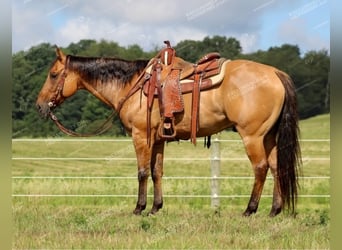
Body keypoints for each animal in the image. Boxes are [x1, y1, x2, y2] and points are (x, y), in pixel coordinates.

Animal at [36, 45, 300, 217]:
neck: (133, 85)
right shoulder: (158, 139)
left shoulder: (141, 135)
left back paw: (250, 210)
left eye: (53, 74)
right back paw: (274, 210)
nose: (39, 106)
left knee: (261, 168)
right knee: (276, 167)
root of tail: (275, 73)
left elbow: (142, 172)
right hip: (268, 136)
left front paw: (139, 208)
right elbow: (157, 172)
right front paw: (155, 207)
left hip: (252, 136)